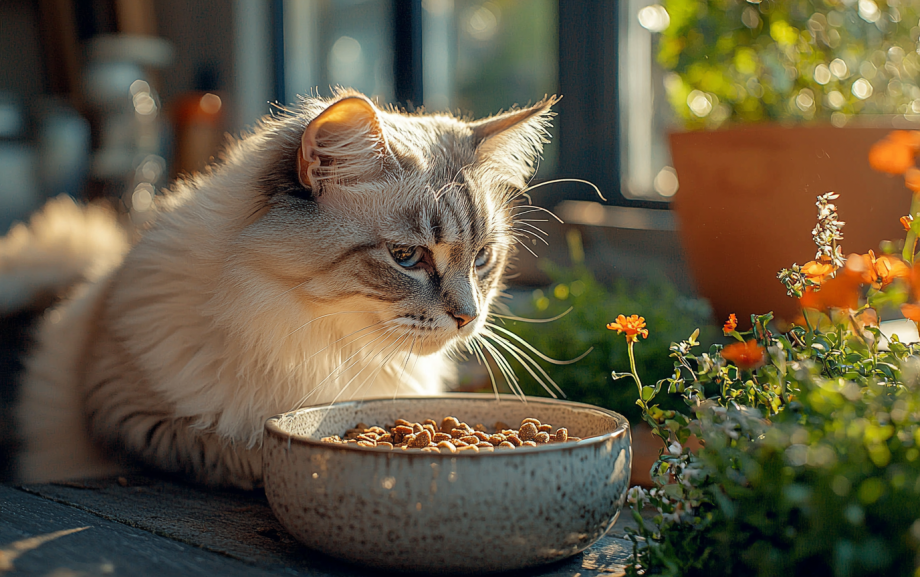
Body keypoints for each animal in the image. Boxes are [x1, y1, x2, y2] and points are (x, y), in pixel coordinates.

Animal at [0, 89, 556, 486]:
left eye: (481, 259)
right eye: (407, 257)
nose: (468, 317)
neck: (330, 346)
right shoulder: (127, 415)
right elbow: (241, 452)